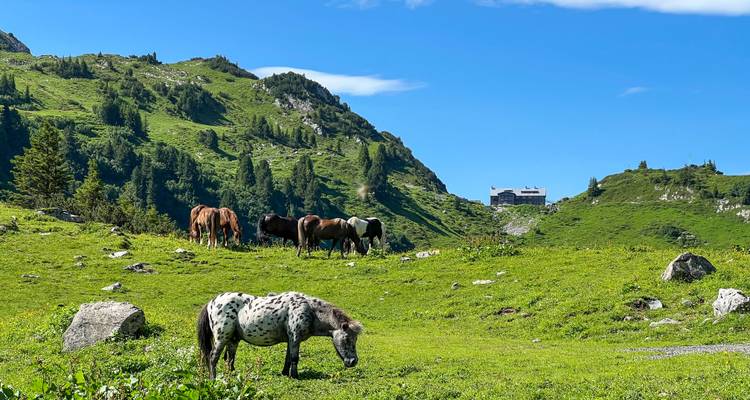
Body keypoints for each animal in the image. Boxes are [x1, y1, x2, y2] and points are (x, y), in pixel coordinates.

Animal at [197, 291, 363, 379]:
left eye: (355, 339)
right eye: (347, 339)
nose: (353, 361)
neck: (309, 310)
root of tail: (212, 302)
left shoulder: (291, 339)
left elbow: (288, 357)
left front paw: (285, 373)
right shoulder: (295, 338)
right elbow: (295, 358)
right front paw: (295, 376)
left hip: (233, 339)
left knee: (229, 359)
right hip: (221, 338)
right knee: (212, 357)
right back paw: (213, 378)